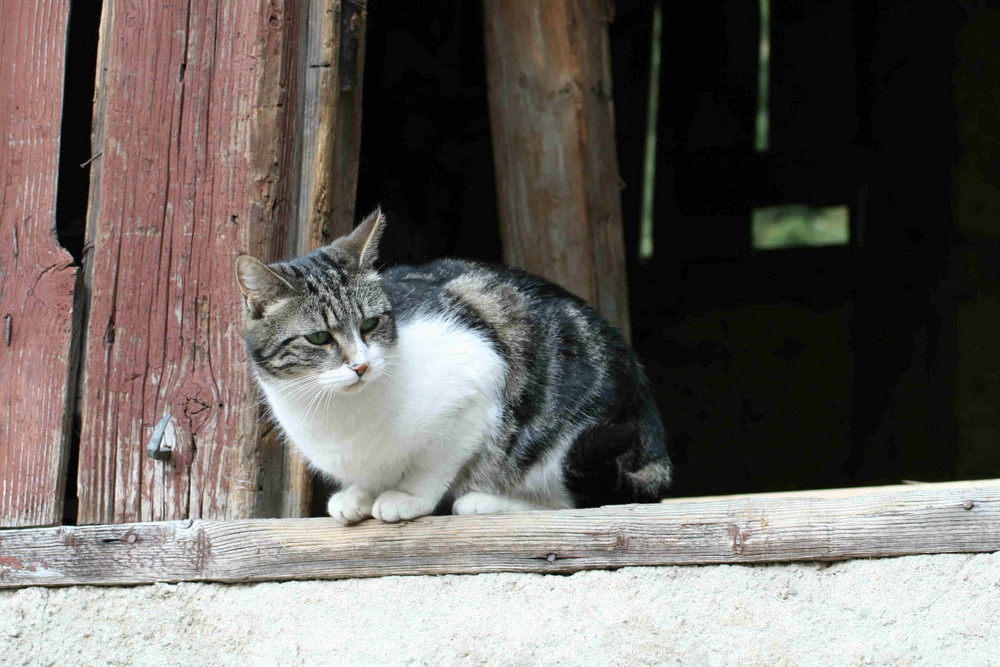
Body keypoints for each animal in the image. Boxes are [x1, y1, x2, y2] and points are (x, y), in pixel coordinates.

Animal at [235, 211, 672, 524]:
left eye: (370, 325)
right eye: (318, 338)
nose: (360, 365)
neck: (340, 415)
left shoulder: (476, 383)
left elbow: (435, 462)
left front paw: (406, 497)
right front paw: (358, 494)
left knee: (574, 499)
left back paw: (485, 501)